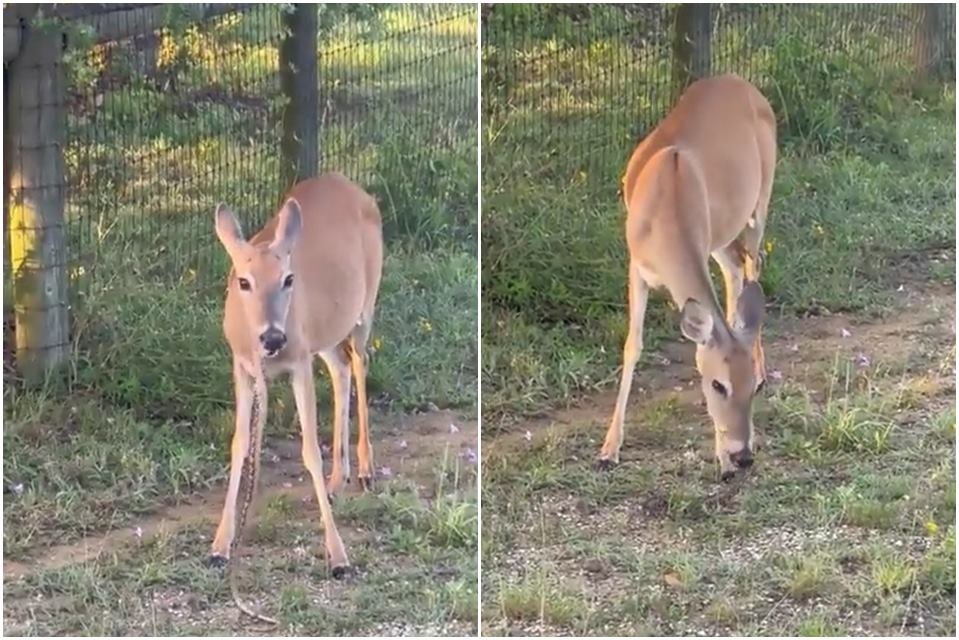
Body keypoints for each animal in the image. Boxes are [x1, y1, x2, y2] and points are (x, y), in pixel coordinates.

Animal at [211, 172, 386, 588]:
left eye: (288, 279)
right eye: (243, 281)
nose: (274, 338)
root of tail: (351, 185)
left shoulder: (299, 363)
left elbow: (308, 450)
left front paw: (339, 556)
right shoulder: (243, 366)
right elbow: (240, 443)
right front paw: (222, 544)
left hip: (365, 305)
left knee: (360, 363)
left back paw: (366, 469)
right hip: (324, 334)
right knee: (341, 368)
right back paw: (339, 479)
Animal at [604, 74, 776, 480]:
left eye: (753, 388)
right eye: (718, 385)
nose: (744, 456)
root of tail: (743, 82)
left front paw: (722, 459)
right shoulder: (636, 265)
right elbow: (632, 345)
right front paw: (608, 449)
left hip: (760, 198)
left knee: (753, 265)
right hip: (722, 233)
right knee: (737, 269)